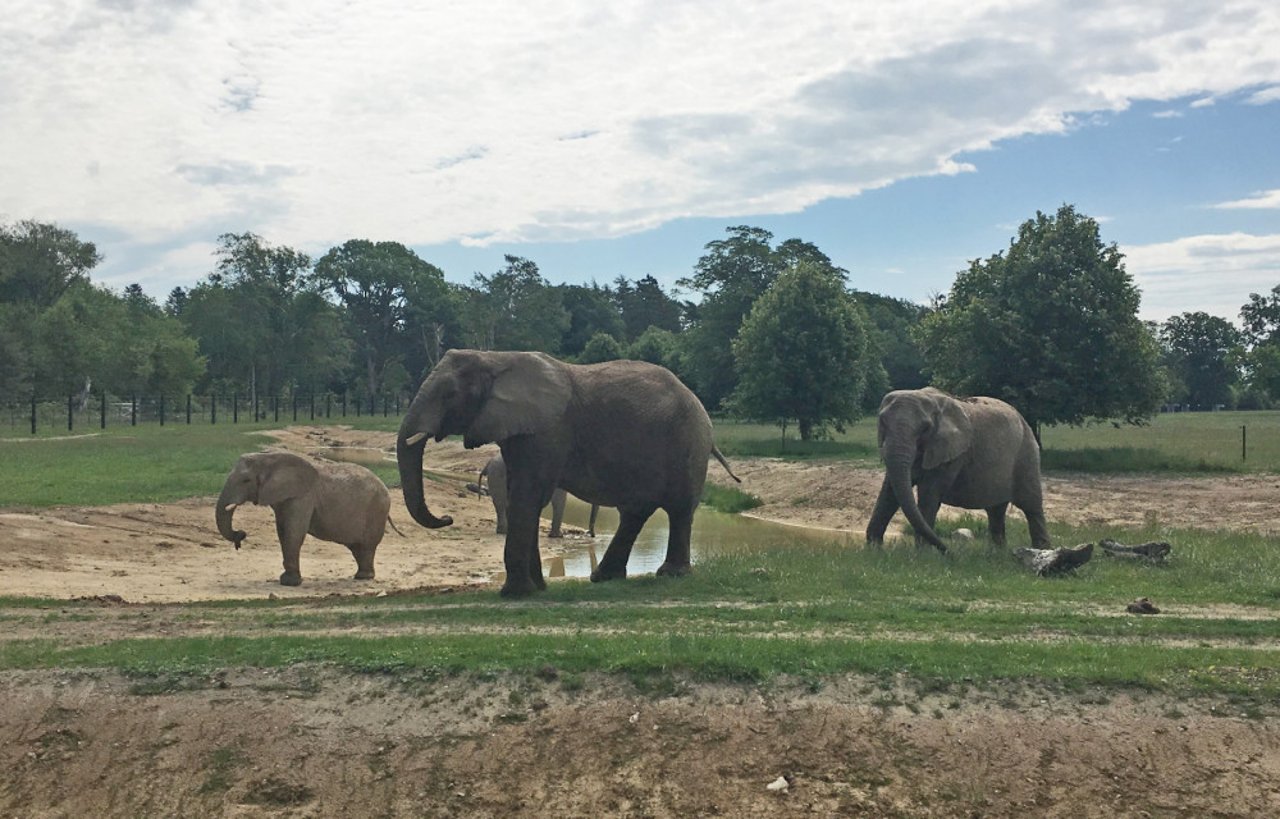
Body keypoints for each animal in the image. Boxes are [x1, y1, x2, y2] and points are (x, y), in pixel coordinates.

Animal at [215, 450, 396, 586]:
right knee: (357, 548)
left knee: (366, 547)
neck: (269, 457)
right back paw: (360, 576)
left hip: (376, 511)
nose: (240, 536)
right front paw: (287, 580)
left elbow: (293, 532)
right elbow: (282, 531)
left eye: (246, 480)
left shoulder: (303, 497)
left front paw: (290, 583)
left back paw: (364, 577)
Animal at [396, 348, 742, 598]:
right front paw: (537, 589)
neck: (496, 357)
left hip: (688, 444)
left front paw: (516, 594)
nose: (447, 518)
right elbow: (525, 497)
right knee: (636, 512)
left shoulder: (547, 432)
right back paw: (604, 578)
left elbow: (527, 496)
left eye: (449, 394)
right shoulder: (522, 431)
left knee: (679, 508)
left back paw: (670, 575)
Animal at [860, 386, 1049, 552]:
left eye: (925, 428)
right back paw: (997, 554)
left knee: (1031, 506)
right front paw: (874, 551)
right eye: (882, 421)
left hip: (1027, 454)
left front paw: (921, 555)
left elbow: (929, 493)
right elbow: (889, 492)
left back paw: (1041, 551)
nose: (949, 552)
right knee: (996, 510)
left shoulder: (953, 453)